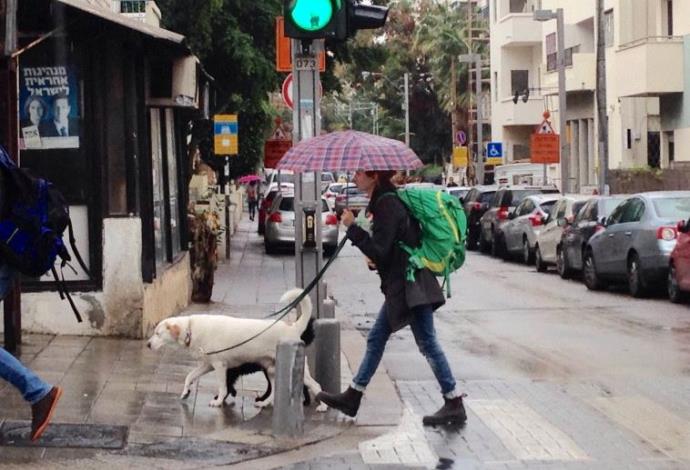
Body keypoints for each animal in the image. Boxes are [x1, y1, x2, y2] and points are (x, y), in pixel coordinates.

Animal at [146, 286, 328, 412]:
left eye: (157, 333)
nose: (147, 345)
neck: (190, 329)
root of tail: (293, 327)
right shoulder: (207, 365)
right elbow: (189, 376)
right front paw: (185, 392)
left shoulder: (220, 366)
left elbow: (223, 387)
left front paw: (218, 402)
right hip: (272, 369)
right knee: (274, 390)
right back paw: (264, 403)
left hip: (296, 370)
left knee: (317, 385)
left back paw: (323, 407)